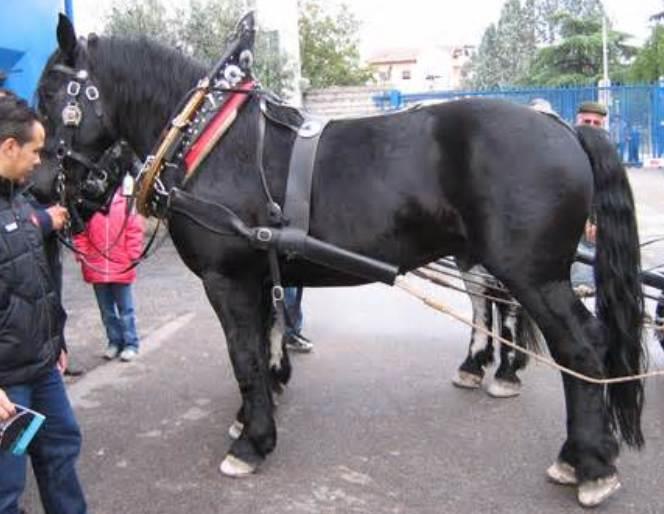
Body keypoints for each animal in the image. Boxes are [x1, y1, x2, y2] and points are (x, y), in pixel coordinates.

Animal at [37, 14, 645, 507]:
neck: (213, 140)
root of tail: (565, 129)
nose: (43, 187)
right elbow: (265, 343)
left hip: (534, 276)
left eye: (51, 97)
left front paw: (253, 443)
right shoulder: (259, 274)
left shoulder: (227, 279)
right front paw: (253, 415)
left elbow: (244, 356)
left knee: (581, 348)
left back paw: (588, 463)